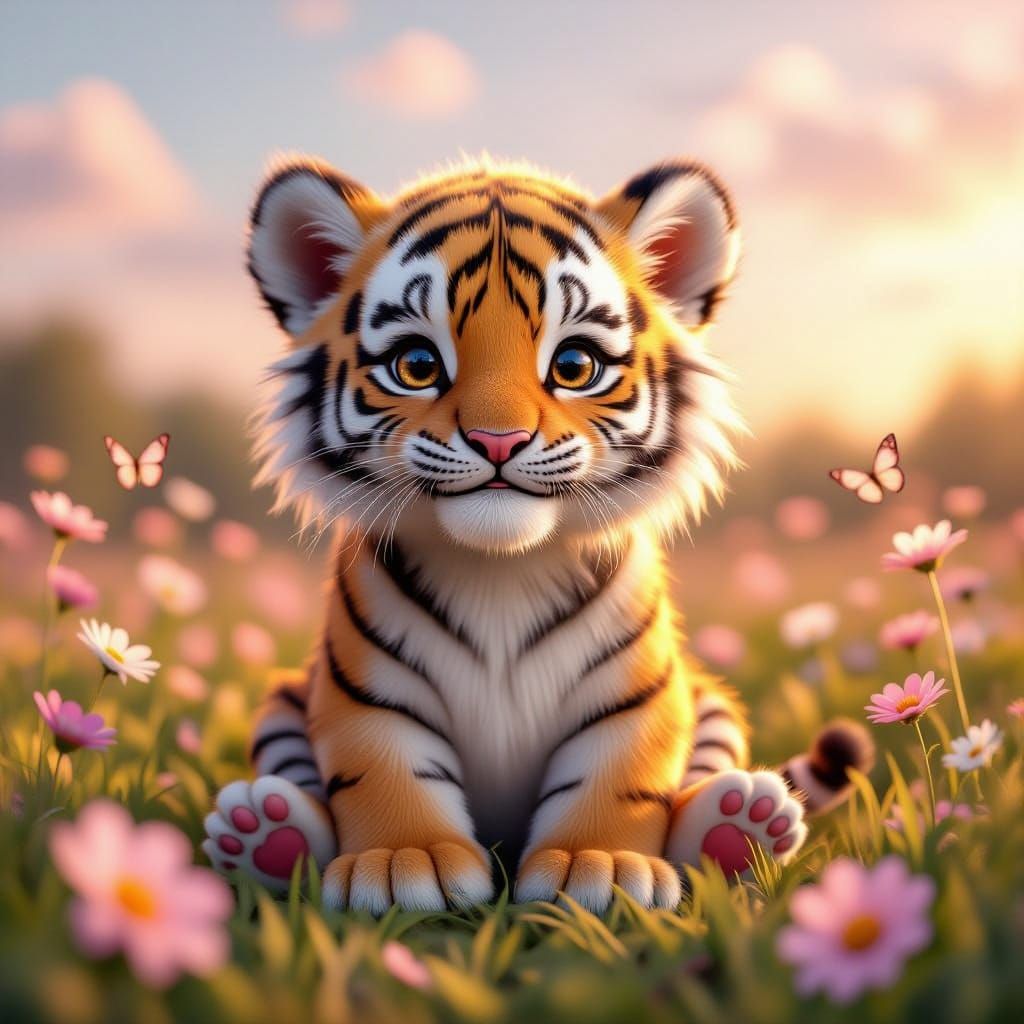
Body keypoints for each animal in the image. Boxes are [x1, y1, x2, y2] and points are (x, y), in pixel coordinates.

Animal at [202, 153, 872, 914]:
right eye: (417, 366)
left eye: (574, 366)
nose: (499, 440)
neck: (501, 570)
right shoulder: (368, 692)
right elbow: (386, 768)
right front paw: (404, 862)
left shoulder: (637, 695)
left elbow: (617, 773)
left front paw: (600, 865)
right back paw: (264, 833)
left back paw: (739, 827)